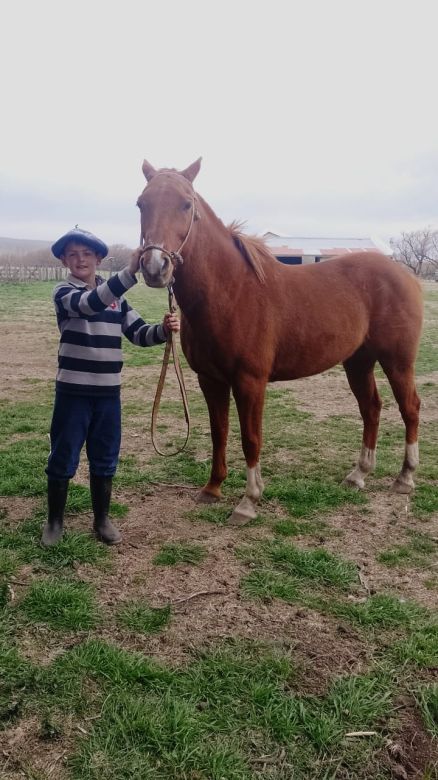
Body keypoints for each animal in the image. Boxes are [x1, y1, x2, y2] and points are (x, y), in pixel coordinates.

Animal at [138, 158, 424, 524]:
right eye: (141, 203)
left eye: (186, 204)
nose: (155, 267)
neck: (230, 292)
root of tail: (406, 275)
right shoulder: (210, 379)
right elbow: (219, 432)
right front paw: (212, 489)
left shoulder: (250, 381)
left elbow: (250, 438)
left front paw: (248, 501)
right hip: (358, 361)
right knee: (371, 408)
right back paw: (358, 474)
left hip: (397, 361)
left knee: (410, 407)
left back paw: (405, 477)